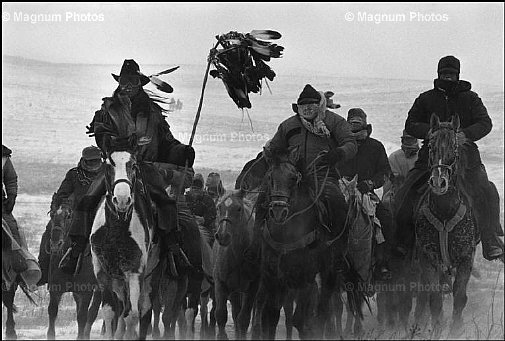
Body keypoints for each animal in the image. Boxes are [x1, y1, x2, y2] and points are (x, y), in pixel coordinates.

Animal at [43, 201, 102, 338]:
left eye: (68, 216)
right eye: (52, 215)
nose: (56, 243)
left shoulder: (86, 292)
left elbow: (82, 316)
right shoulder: (55, 290)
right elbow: (52, 312)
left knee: (93, 312)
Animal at [213, 190, 260, 338]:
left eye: (239, 208)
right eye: (219, 207)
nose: (223, 236)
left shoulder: (252, 286)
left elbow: (243, 319)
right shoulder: (221, 283)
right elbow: (221, 314)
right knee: (235, 312)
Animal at [410, 113, 476, 336]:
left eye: (454, 147)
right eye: (431, 146)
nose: (439, 183)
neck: (445, 212)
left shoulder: (466, 258)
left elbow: (460, 298)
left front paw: (456, 328)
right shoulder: (428, 259)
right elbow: (434, 300)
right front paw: (436, 329)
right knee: (423, 297)